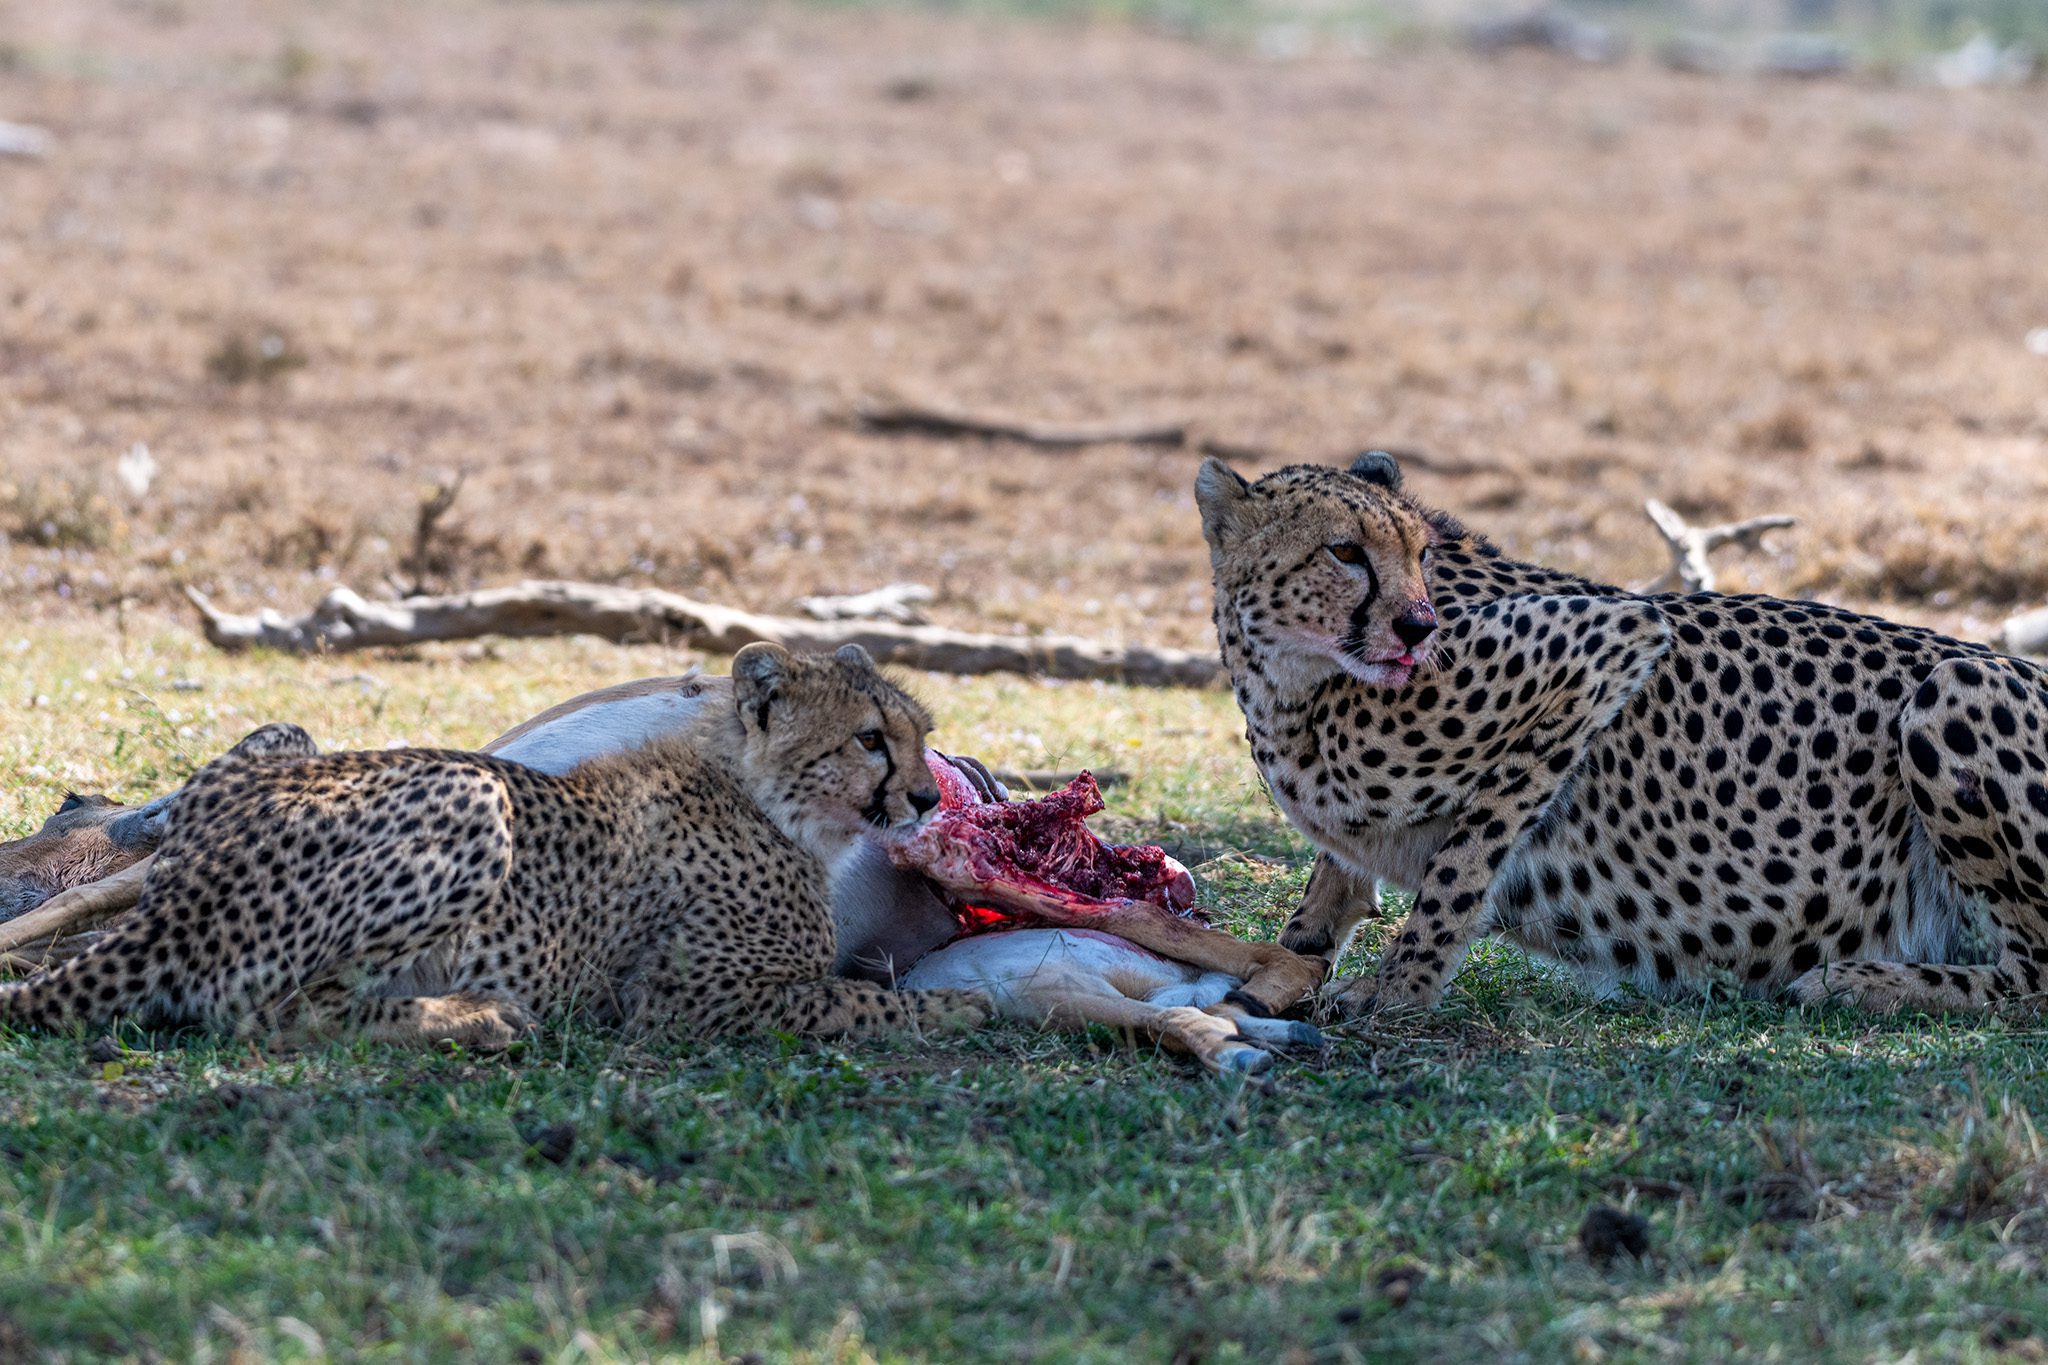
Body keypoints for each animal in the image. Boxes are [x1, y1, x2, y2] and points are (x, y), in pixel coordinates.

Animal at [0, 646, 991, 1039]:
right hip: (473, 792)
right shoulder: (686, 1003)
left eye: (916, 734)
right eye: (870, 738)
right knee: (271, 1013)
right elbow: (861, 1002)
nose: (928, 793)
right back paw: (469, 1016)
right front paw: (957, 1007)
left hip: (288, 747)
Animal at [1196, 454, 2048, 1019]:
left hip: (1953, 687)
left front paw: (1397, 988)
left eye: (1420, 552)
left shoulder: (1609, 639)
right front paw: (1293, 955)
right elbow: (1332, 874)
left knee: (2035, 974)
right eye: (1344, 550)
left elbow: (1459, 867)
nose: (1418, 626)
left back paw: (1860, 980)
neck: (1297, 679)